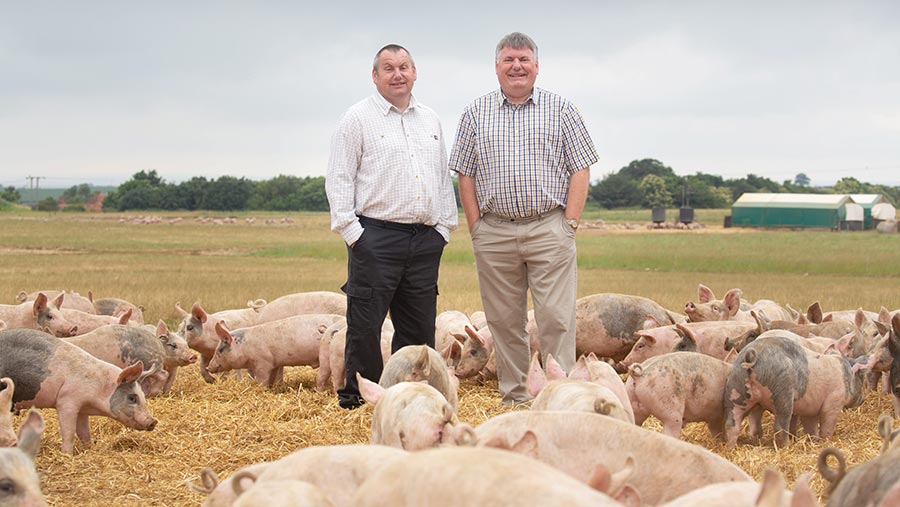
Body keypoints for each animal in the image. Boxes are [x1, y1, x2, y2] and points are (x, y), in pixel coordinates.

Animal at [0, 330, 156, 456]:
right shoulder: (66, 401)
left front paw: (89, 449)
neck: (99, 389)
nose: (153, 421)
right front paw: (67, 455)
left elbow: (84, 433)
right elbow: (69, 432)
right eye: (132, 397)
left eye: (143, 396)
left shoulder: (82, 409)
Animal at [208, 314, 344, 388]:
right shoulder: (273, 364)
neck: (245, 346)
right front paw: (271, 388)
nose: (208, 367)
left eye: (219, 350)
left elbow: (262, 380)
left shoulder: (263, 363)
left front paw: (261, 388)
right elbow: (271, 378)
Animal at [720, 336, 868, 450]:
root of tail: (752, 358)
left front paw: (813, 440)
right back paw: (786, 447)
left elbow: (810, 427)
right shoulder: (834, 402)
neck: (846, 376)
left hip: (735, 390)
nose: (863, 400)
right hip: (782, 393)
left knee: (732, 424)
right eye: (860, 377)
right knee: (780, 426)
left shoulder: (809, 410)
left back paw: (730, 448)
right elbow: (826, 425)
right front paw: (825, 441)